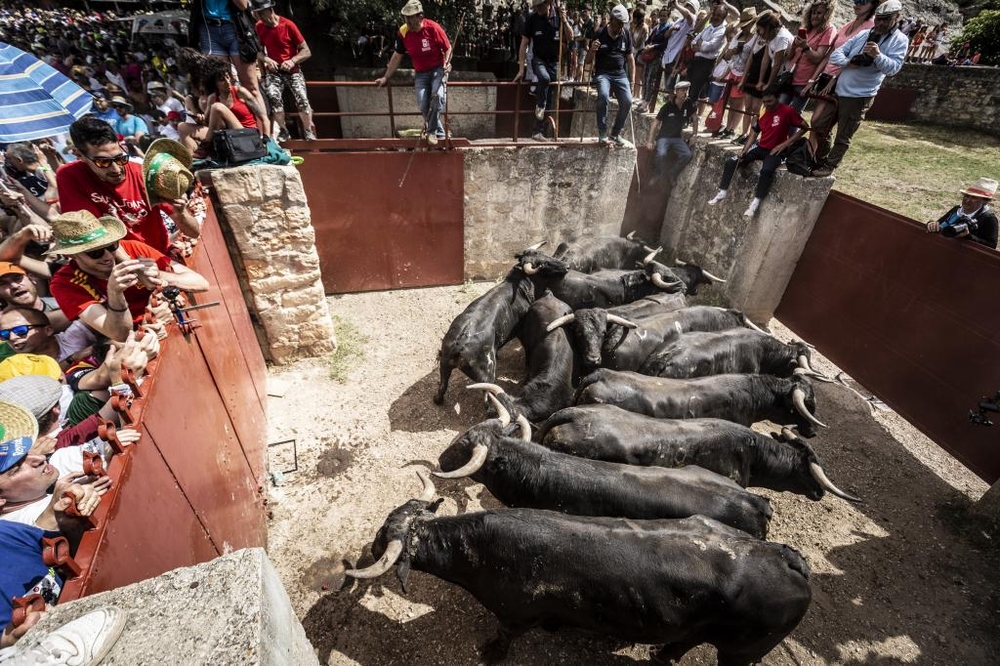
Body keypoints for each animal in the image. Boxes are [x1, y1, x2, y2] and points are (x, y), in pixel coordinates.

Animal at [348, 470, 808, 664]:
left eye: (382, 537)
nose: (368, 548)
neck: (483, 548)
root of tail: (786, 558)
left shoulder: (514, 616)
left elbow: (503, 638)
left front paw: (492, 654)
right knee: (681, 644)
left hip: (741, 653)